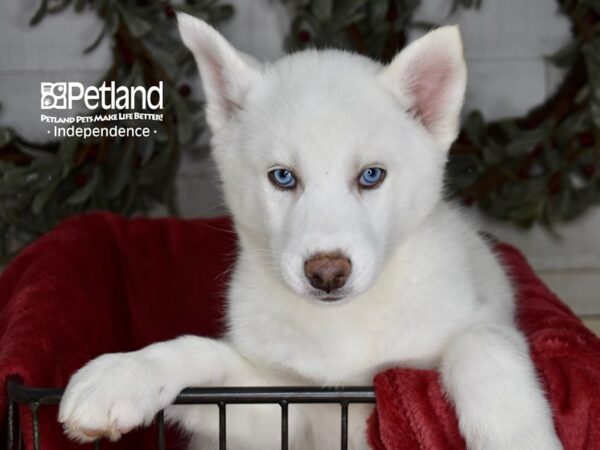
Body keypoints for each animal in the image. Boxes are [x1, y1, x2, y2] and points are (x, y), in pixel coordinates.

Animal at [58, 14, 560, 450]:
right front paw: (126, 374)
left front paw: (519, 437)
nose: (327, 274)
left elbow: (482, 344)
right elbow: (202, 353)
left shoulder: (480, 320)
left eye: (371, 175)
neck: (345, 324)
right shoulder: (284, 407)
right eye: (282, 177)